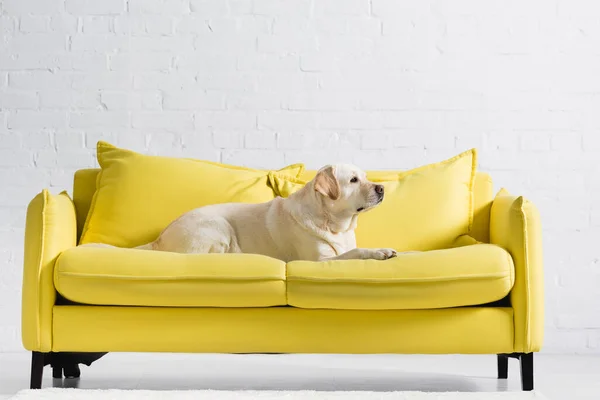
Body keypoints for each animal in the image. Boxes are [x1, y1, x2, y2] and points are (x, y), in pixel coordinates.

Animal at [118, 163, 394, 262]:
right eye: (354, 180)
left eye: (366, 176)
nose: (382, 188)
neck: (334, 223)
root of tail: (158, 240)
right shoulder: (317, 261)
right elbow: (356, 252)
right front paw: (379, 252)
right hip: (218, 226)